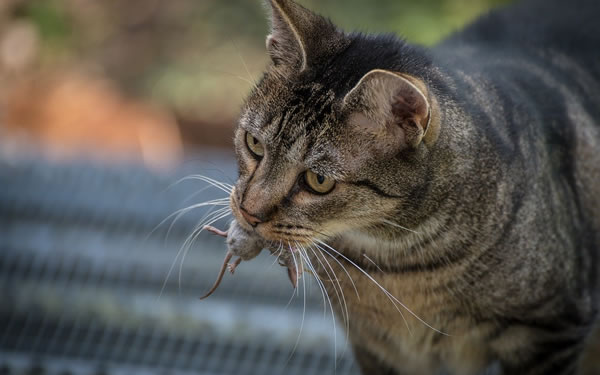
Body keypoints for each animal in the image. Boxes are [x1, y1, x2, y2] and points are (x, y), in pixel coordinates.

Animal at [223, 0, 600, 374]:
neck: (396, 264)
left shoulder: (550, 330)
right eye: (254, 144)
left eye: (319, 181)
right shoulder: (379, 348)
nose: (249, 211)